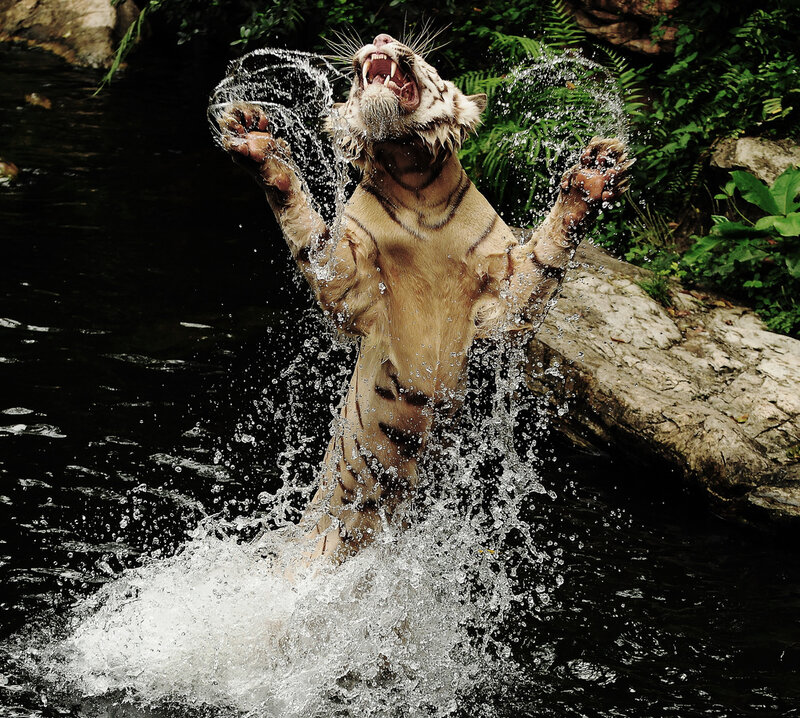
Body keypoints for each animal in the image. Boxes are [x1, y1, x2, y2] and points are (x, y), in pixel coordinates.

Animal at [217, 32, 631, 562]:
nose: (380, 38)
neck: (416, 186)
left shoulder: (504, 299)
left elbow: (545, 259)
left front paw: (594, 173)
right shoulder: (349, 283)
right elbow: (307, 230)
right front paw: (254, 139)